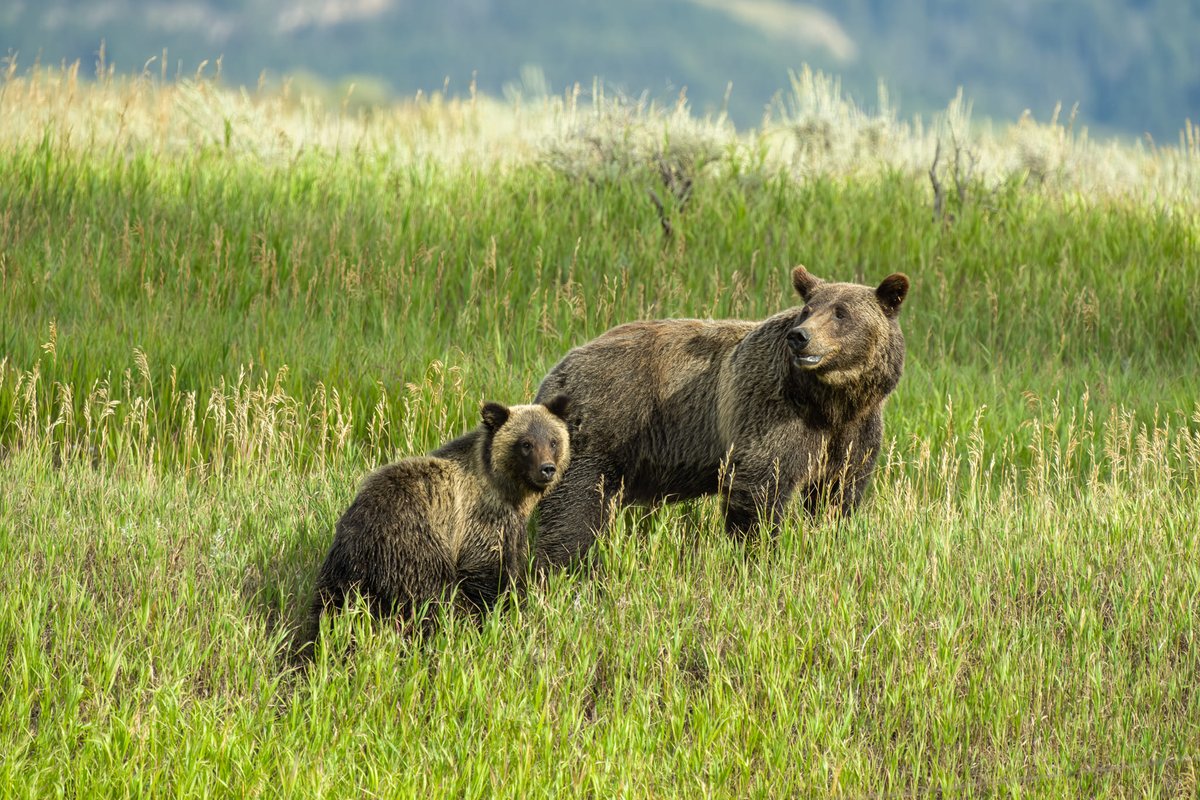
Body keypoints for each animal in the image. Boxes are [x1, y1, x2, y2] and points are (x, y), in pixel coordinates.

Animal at [307, 395, 573, 652]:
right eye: (525, 444)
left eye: (553, 441)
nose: (547, 469)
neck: (508, 492)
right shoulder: (481, 521)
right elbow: (488, 575)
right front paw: (496, 615)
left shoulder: (510, 527)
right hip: (416, 548)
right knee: (430, 601)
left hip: (343, 572)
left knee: (330, 611)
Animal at [535, 267, 907, 568]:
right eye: (808, 309)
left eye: (841, 313)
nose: (800, 336)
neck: (830, 400)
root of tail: (555, 374)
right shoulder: (769, 412)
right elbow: (759, 488)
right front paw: (761, 554)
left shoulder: (853, 431)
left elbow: (837, 490)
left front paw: (829, 539)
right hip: (602, 432)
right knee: (574, 510)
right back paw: (568, 567)